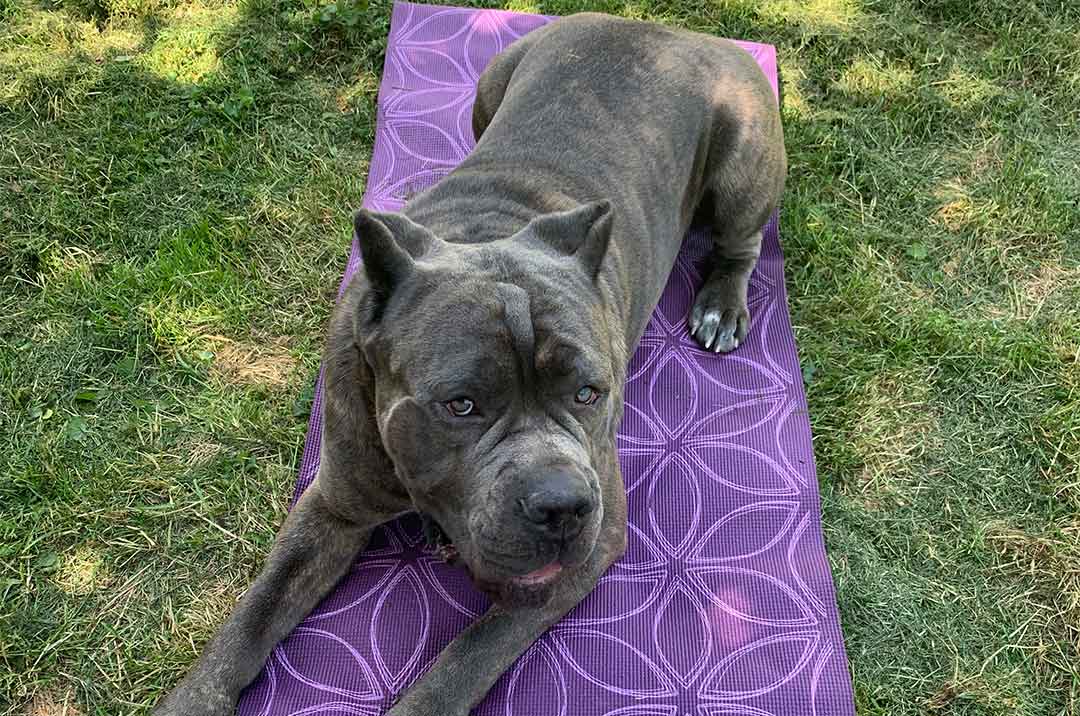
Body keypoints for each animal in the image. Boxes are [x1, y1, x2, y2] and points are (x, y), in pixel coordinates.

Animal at [154, 12, 786, 716]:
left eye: (589, 393)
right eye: (461, 406)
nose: (562, 505)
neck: (483, 234)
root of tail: (671, 32)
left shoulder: (586, 550)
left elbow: (461, 663)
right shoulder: (332, 505)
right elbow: (255, 614)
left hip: (745, 160)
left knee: (741, 242)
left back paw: (721, 304)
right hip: (491, 83)